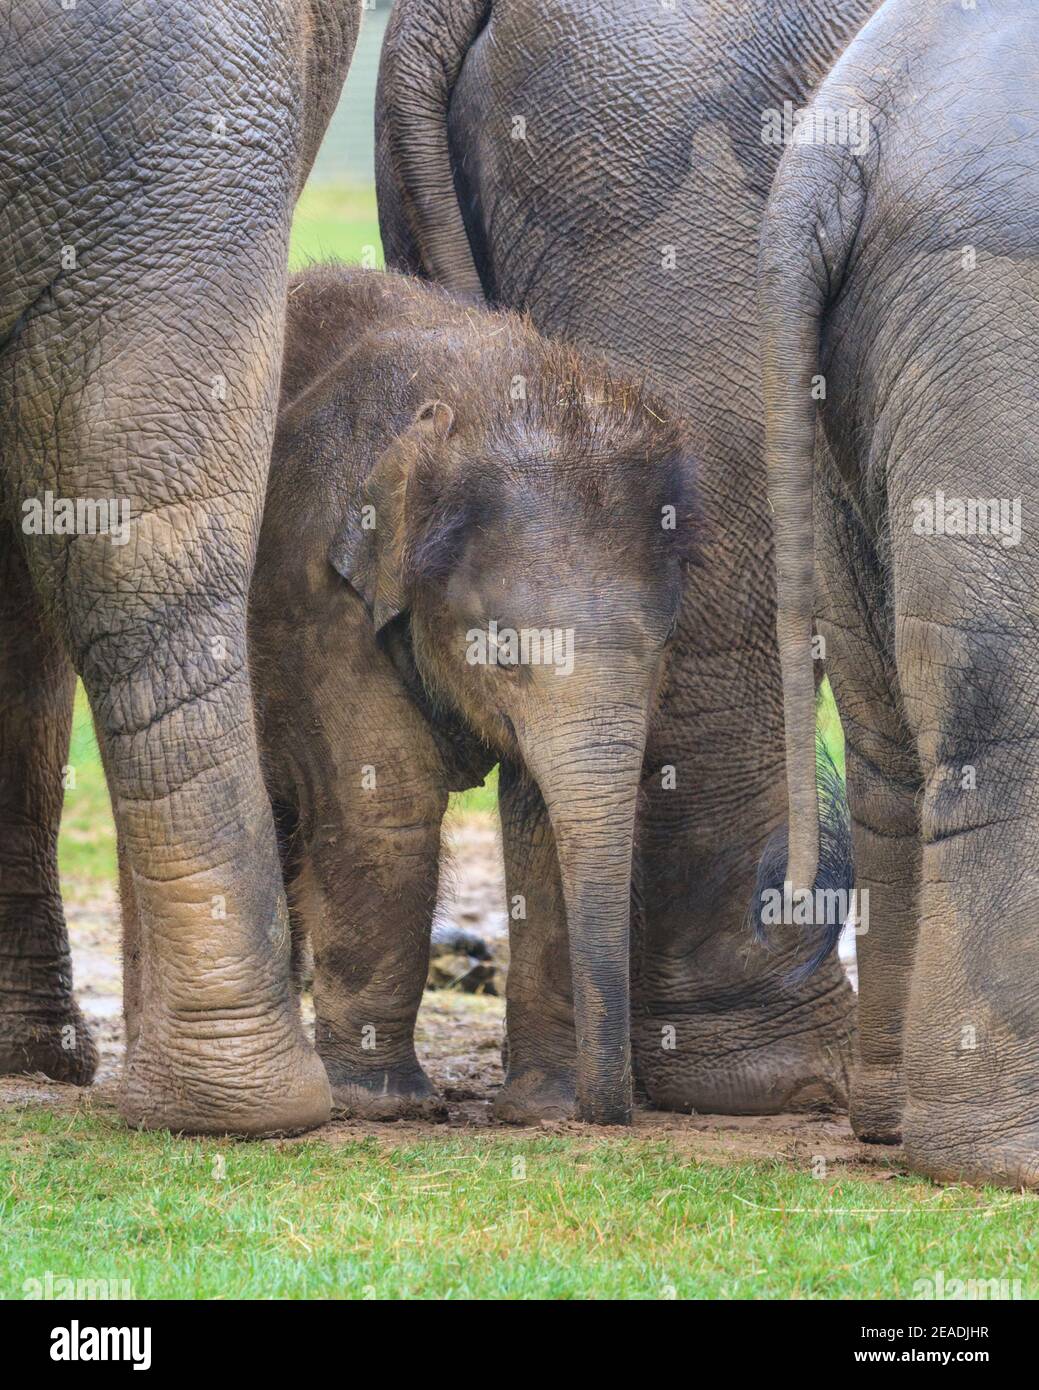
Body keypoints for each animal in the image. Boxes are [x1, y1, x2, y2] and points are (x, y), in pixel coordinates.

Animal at [247, 265, 695, 1123]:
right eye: (502, 651)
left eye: (660, 651)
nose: (611, 1109)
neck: (487, 392)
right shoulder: (314, 593)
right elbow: (383, 802)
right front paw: (382, 1107)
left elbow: (540, 822)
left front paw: (541, 1109)